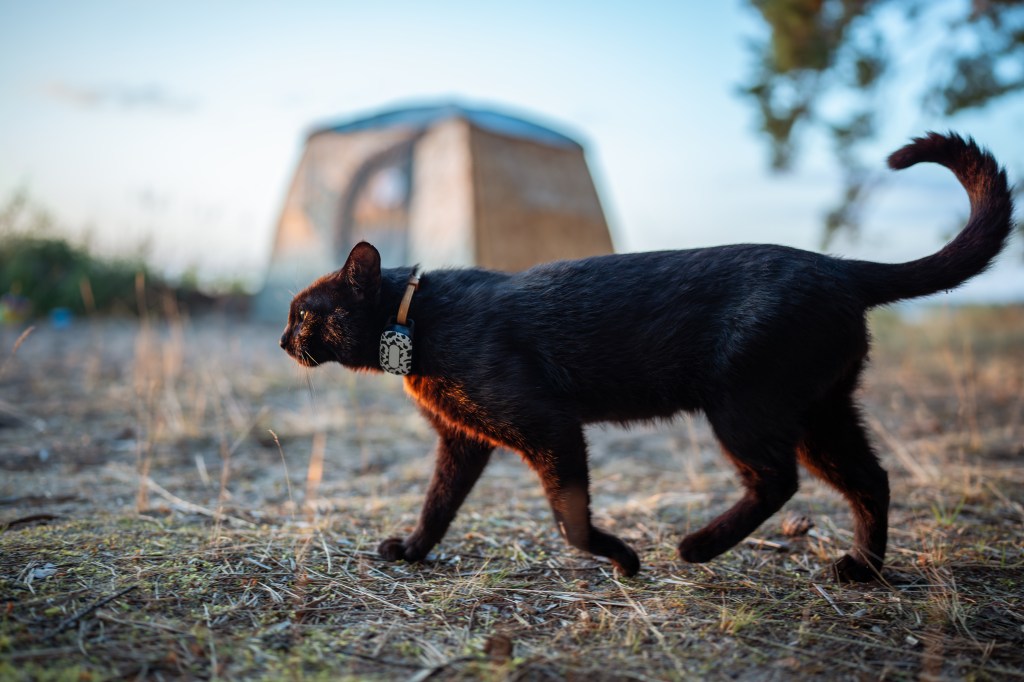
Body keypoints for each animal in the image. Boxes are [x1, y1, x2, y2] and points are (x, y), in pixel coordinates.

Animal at [278, 133, 1007, 577]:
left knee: (778, 480)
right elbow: (438, 503)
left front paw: (622, 559)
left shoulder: (548, 426)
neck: (418, 321)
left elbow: (570, 519)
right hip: (821, 412)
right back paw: (863, 570)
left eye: (304, 313)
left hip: (745, 404)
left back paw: (698, 546)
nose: (283, 340)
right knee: (869, 479)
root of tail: (839, 266)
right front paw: (411, 550)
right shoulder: (463, 441)